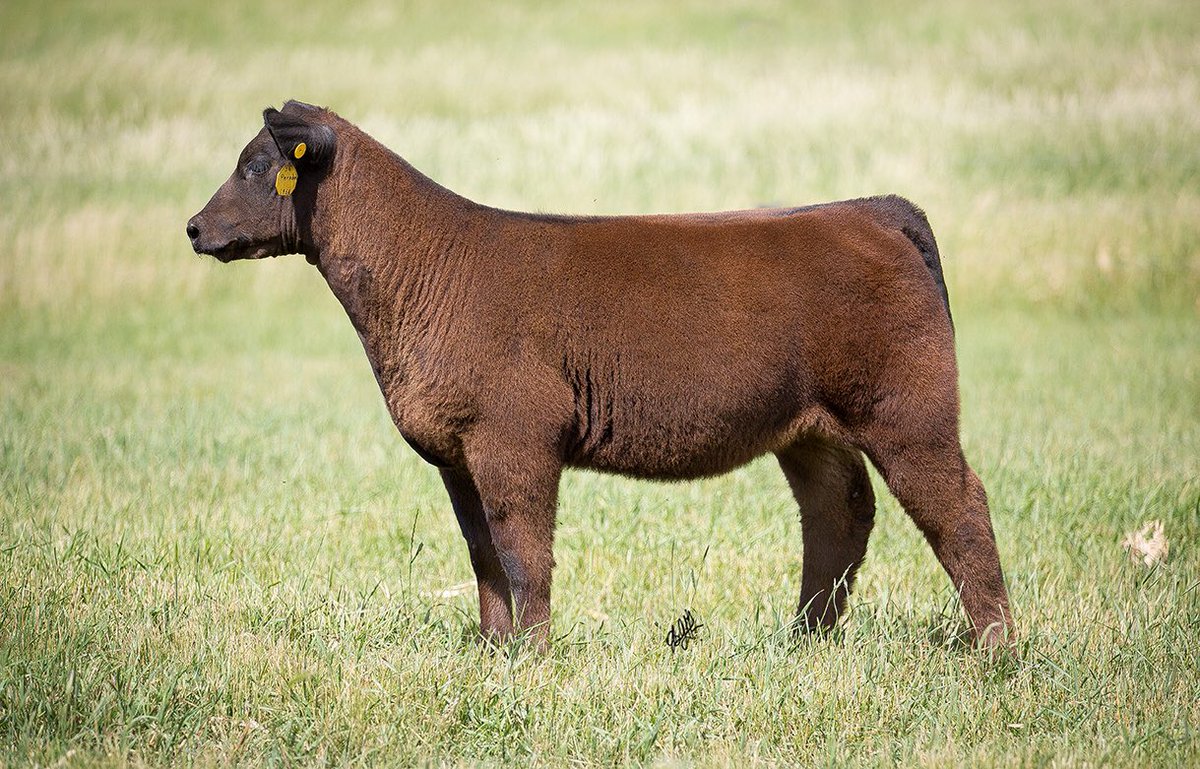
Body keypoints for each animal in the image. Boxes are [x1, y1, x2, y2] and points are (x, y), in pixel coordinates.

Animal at [187, 100, 1012, 652]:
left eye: (257, 166)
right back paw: (803, 640)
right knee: (838, 514)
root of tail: (870, 208)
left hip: (907, 410)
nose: (193, 227)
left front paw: (533, 658)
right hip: (810, 428)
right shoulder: (457, 451)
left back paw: (994, 649)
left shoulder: (514, 435)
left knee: (959, 508)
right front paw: (493, 652)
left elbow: (524, 551)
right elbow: (483, 553)